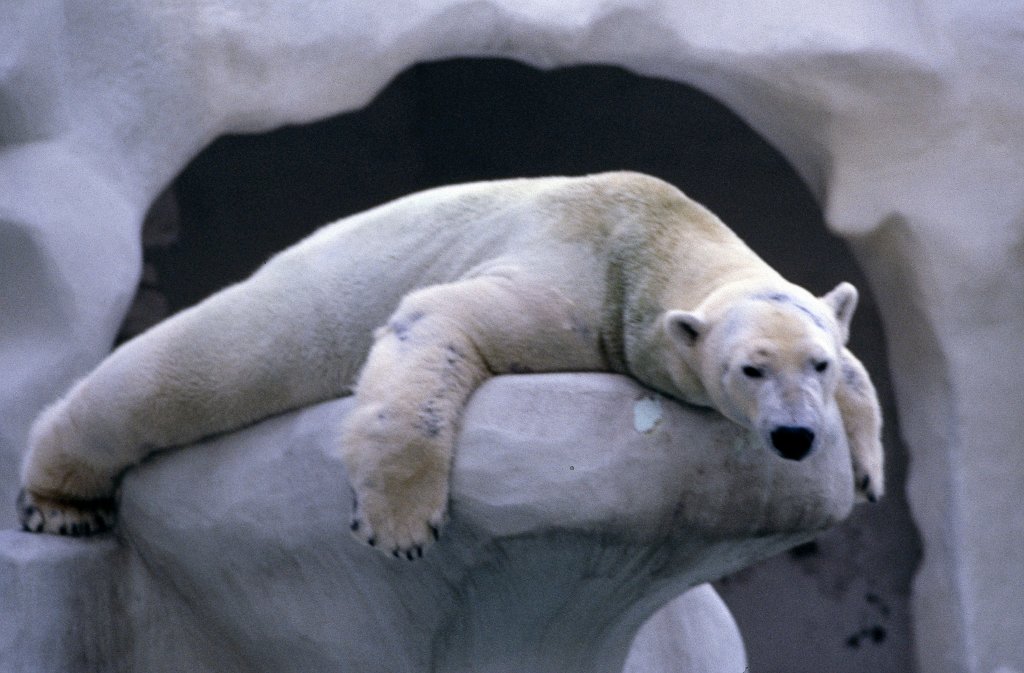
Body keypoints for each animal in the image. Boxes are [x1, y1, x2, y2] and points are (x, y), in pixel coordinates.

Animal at [18, 172, 883, 557]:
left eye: (816, 364)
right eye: (749, 369)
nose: (797, 437)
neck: (649, 229)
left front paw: (869, 466)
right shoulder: (580, 285)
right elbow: (440, 318)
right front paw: (402, 523)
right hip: (281, 316)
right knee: (169, 377)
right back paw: (60, 502)